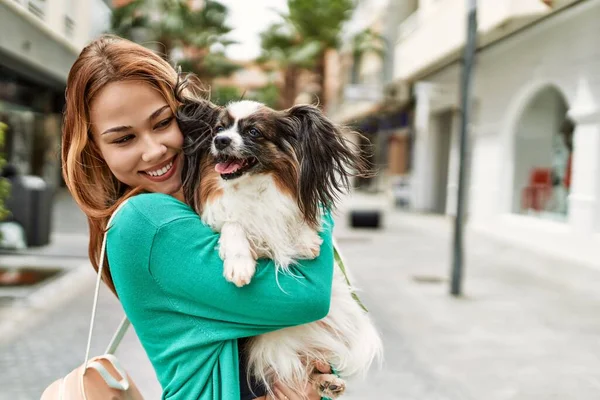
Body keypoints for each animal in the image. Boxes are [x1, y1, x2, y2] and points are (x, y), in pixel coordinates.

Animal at [178, 97, 384, 400]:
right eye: (218, 129)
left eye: (253, 132)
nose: (220, 141)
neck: (251, 187)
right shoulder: (226, 221)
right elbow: (234, 225)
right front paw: (239, 264)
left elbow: (294, 220)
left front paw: (306, 239)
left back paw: (329, 383)